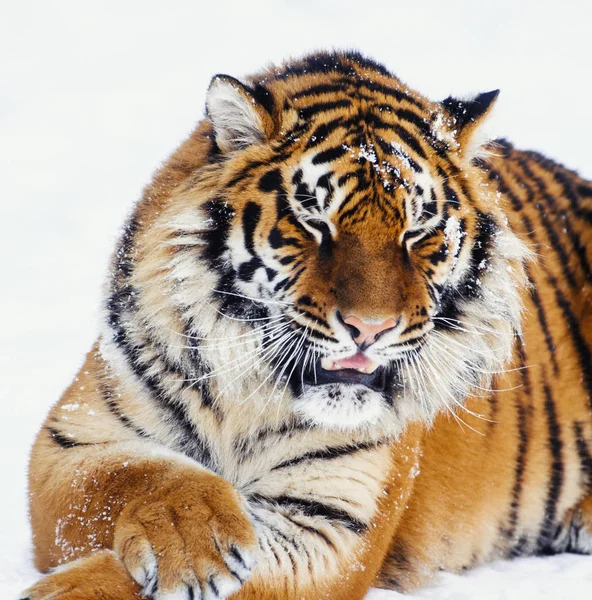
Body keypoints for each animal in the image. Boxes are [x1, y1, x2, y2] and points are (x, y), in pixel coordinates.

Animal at [23, 51, 592, 600]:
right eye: (315, 223)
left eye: (416, 233)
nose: (370, 328)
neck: (246, 402)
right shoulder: (68, 442)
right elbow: (141, 472)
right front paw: (193, 536)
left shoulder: (333, 524)